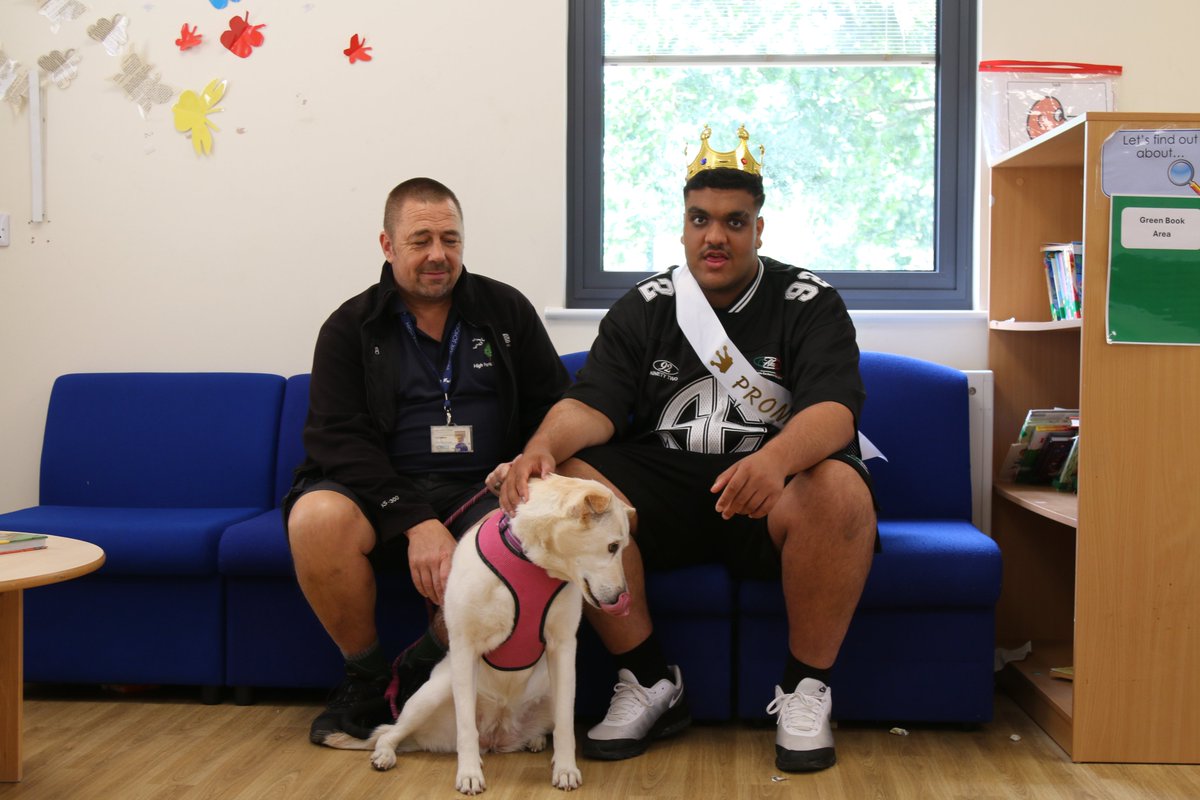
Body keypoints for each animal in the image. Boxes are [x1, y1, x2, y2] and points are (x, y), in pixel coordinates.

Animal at [324, 474, 634, 795]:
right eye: (612, 546)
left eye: (621, 548)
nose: (623, 597)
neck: (531, 561)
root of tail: (496, 736)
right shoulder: (464, 647)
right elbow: (466, 727)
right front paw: (469, 773)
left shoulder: (562, 648)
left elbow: (565, 724)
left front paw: (565, 769)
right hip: (433, 694)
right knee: (389, 733)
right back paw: (385, 754)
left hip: (550, 687)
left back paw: (534, 739)